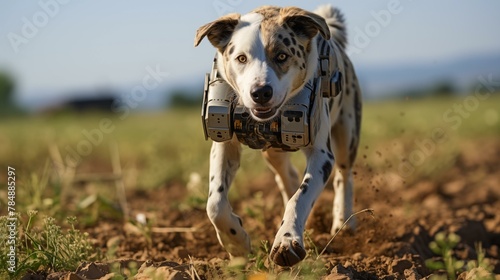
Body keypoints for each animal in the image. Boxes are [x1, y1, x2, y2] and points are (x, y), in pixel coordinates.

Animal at [193, 4, 362, 266]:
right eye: (241, 58)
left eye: (282, 56)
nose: (260, 92)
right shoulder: (224, 143)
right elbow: (215, 204)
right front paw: (236, 243)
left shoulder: (322, 155)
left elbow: (300, 198)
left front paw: (287, 241)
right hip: (272, 153)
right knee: (286, 177)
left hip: (347, 132)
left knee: (343, 176)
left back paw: (343, 223)